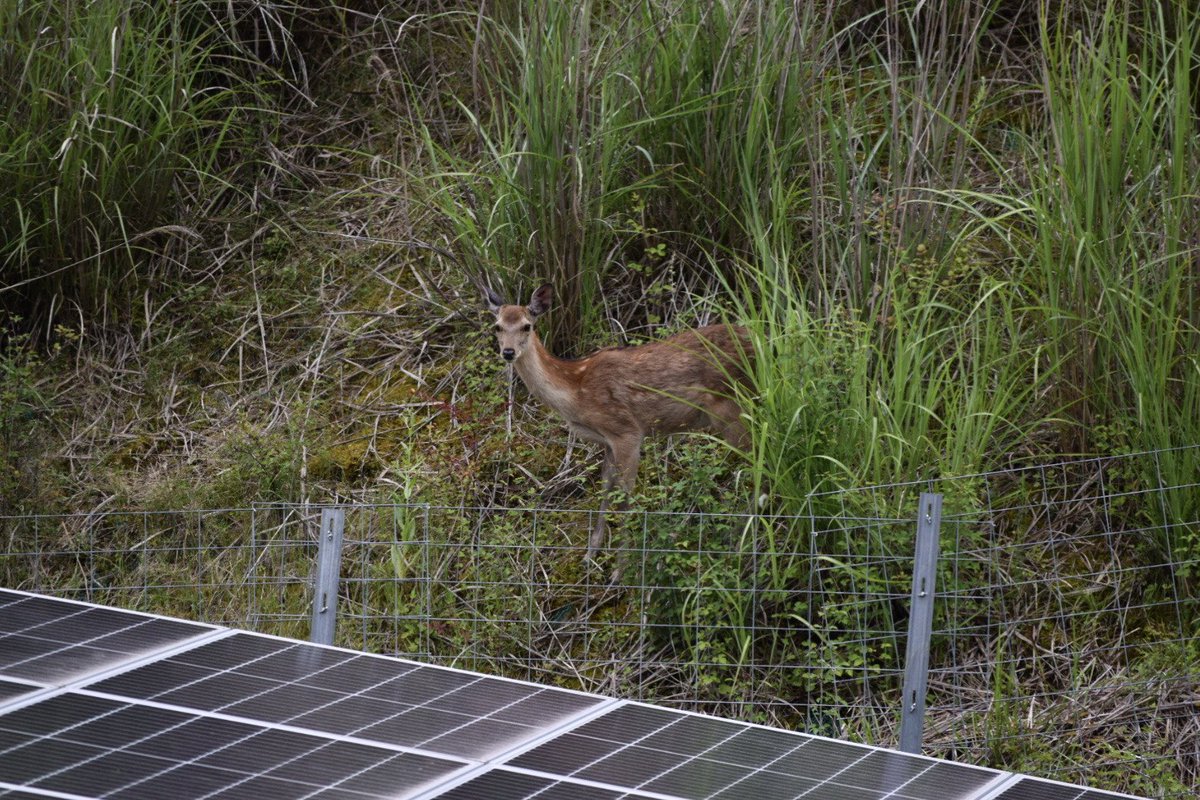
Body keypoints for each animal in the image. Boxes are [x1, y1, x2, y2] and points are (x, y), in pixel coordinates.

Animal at [486, 282, 753, 560]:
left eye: (527, 326)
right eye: (497, 326)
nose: (508, 352)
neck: (575, 392)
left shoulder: (627, 431)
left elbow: (625, 496)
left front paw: (622, 563)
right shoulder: (607, 440)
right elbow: (605, 487)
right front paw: (591, 553)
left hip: (731, 409)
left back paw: (740, 539)